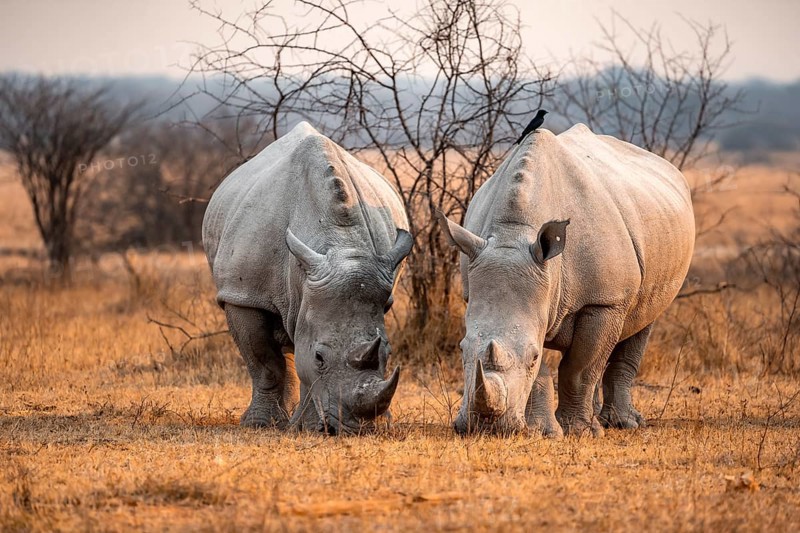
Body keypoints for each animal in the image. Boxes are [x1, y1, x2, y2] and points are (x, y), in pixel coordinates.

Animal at [203, 122, 412, 434]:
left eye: (387, 354)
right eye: (319, 357)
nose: (354, 428)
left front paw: (307, 427)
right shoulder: (244, 294)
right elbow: (265, 362)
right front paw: (260, 424)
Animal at [438, 124, 695, 437]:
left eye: (533, 356)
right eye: (461, 348)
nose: (486, 428)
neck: (514, 231)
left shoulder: (604, 301)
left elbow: (579, 368)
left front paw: (579, 431)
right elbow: (548, 371)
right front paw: (544, 431)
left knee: (642, 321)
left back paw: (622, 423)